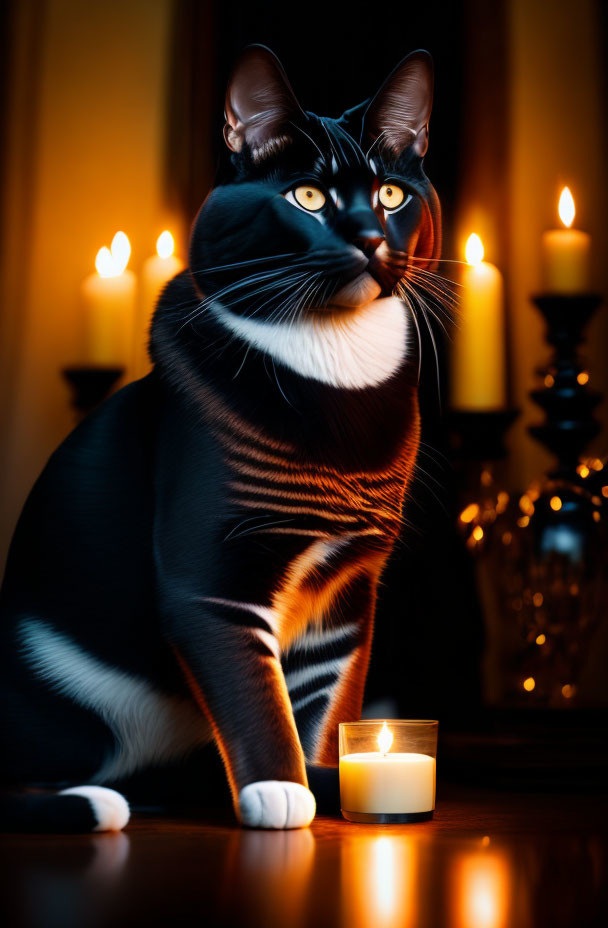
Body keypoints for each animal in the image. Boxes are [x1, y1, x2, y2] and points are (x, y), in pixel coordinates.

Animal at [0, 47, 442, 832]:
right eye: (307, 197)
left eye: (391, 195)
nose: (369, 238)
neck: (339, 367)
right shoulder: (211, 580)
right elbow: (252, 689)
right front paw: (279, 789)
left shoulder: (349, 591)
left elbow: (328, 703)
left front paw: (326, 777)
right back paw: (97, 800)